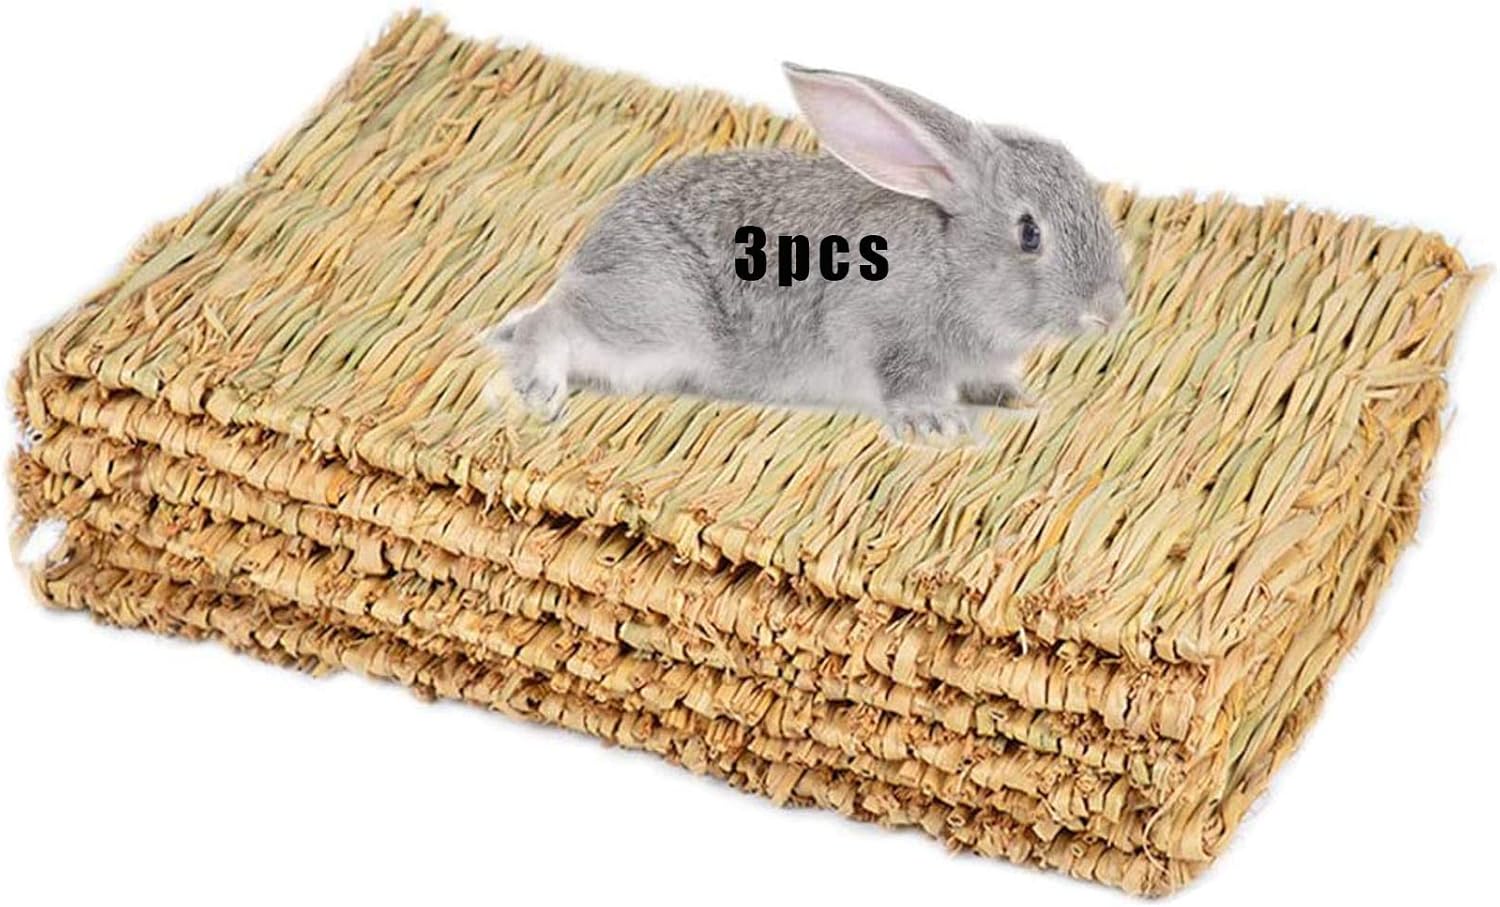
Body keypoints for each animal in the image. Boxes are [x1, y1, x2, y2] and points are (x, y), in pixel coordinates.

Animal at [488, 63, 1128, 441]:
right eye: (1029, 233)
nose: (1110, 312)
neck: (956, 263)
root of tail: (591, 253)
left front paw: (1019, 399)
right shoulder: (887, 332)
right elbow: (904, 379)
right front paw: (935, 422)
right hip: (655, 315)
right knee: (552, 322)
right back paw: (540, 387)